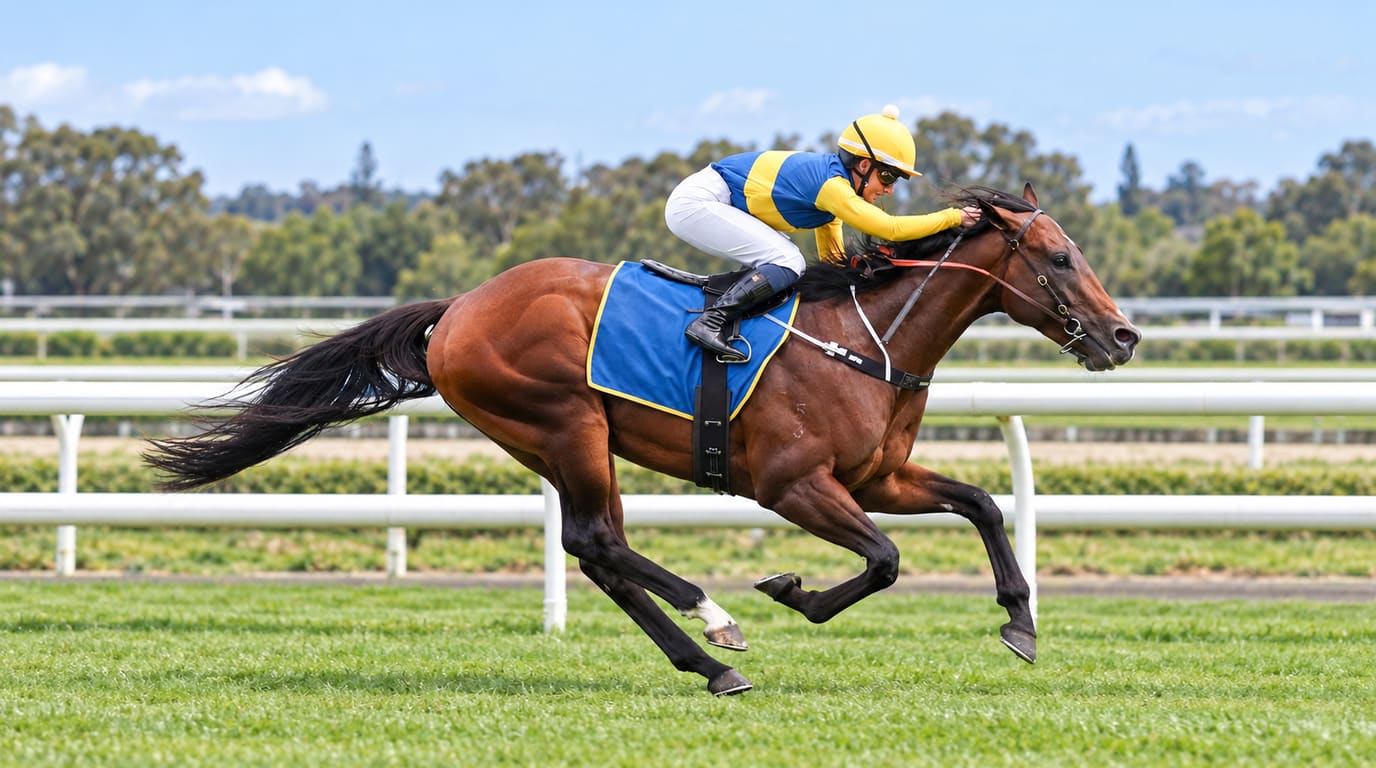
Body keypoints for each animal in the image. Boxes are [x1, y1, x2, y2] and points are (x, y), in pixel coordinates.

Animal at [145, 183, 1140, 696]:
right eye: (1059, 258)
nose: (1124, 336)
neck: (866, 338)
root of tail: (458, 309)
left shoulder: (878, 476)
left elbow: (982, 504)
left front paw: (1020, 623)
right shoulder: (792, 485)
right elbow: (887, 560)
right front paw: (791, 592)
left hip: (554, 440)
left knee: (596, 550)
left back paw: (705, 658)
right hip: (565, 422)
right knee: (599, 540)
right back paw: (716, 627)